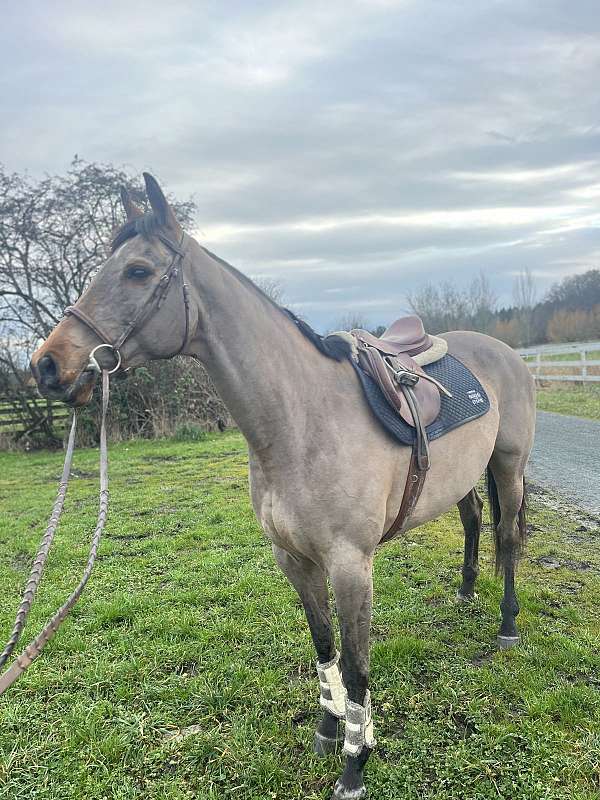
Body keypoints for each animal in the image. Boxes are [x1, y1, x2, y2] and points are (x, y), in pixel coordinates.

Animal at [29, 172, 536, 796]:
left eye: (139, 271)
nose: (47, 365)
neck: (299, 421)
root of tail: (503, 352)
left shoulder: (350, 564)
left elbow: (356, 664)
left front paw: (355, 764)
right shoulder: (293, 558)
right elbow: (323, 647)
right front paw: (328, 729)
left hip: (509, 465)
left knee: (508, 538)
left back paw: (507, 626)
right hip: (463, 477)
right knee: (473, 520)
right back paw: (465, 593)